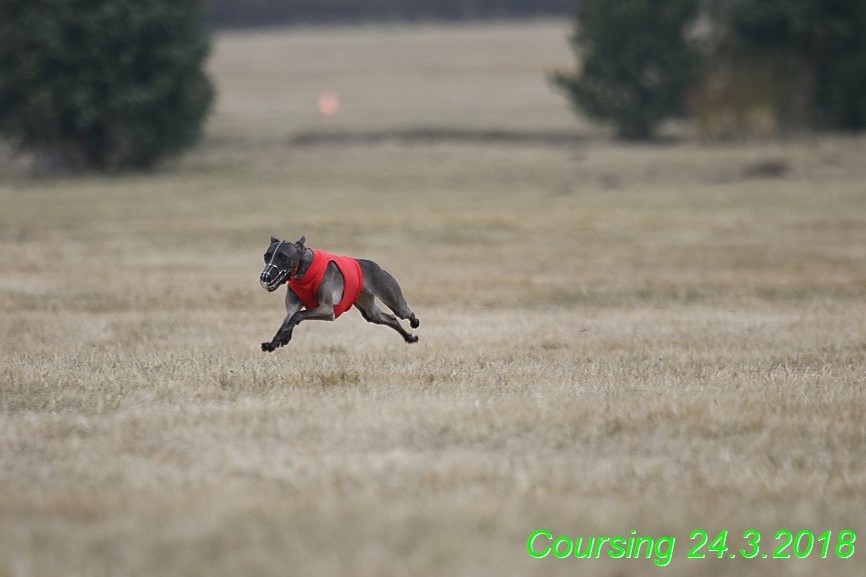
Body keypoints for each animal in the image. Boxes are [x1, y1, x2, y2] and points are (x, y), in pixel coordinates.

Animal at [256, 234, 418, 352]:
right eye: (266, 256)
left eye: (283, 256)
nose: (265, 277)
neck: (304, 270)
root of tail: (375, 265)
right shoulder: (292, 308)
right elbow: (289, 319)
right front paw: (276, 341)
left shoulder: (327, 310)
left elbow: (298, 315)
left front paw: (284, 336)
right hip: (369, 311)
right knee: (391, 318)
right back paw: (409, 338)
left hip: (391, 296)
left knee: (405, 313)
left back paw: (414, 322)